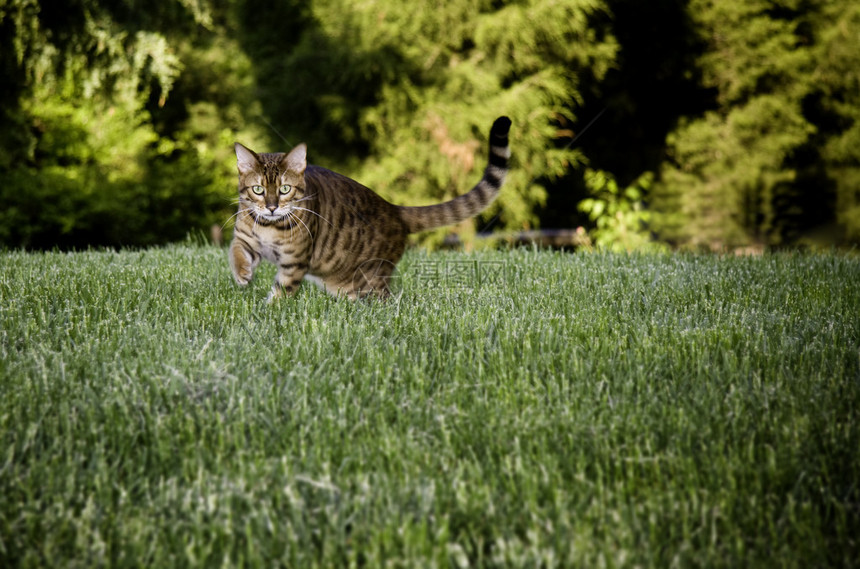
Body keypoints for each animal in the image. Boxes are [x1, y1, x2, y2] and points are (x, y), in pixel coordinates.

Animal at [228, 116, 510, 302]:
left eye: (285, 189)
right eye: (258, 190)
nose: (272, 207)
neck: (269, 227)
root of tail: (395, 209)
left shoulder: (294, 261)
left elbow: (282, 291)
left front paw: (270, 309)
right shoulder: (246, 238)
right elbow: (236, 252)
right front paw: (242, 275)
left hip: (368, 281)